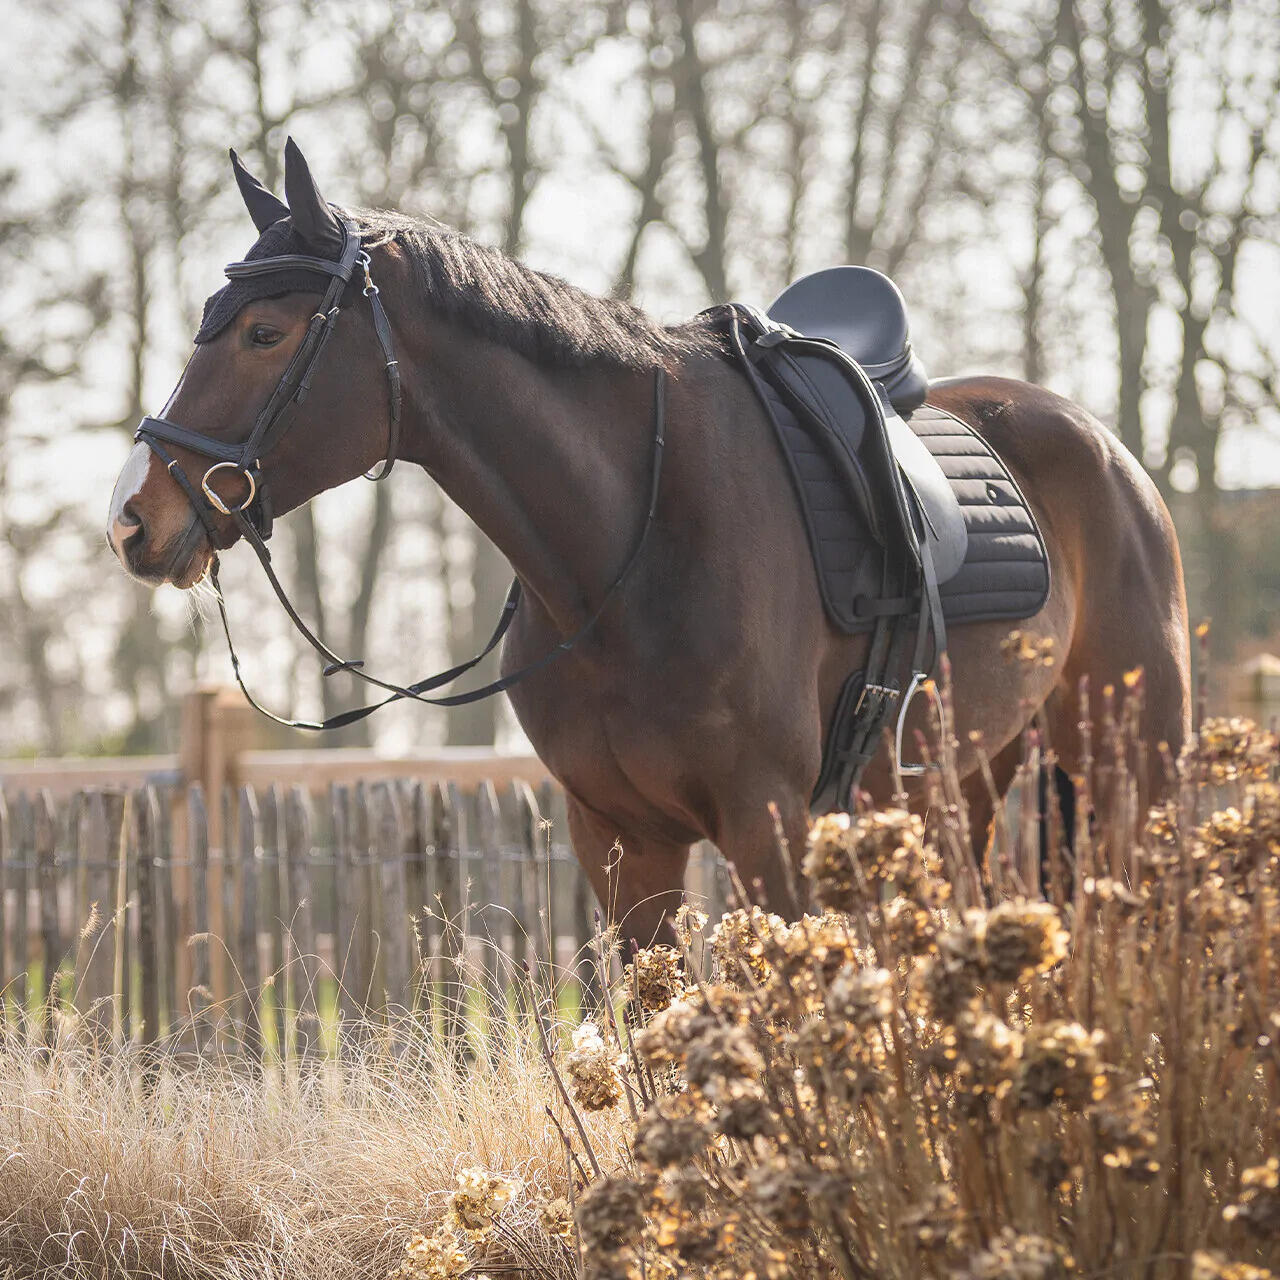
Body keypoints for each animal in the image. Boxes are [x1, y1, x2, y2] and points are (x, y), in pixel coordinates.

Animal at [107, 143, 1191, 947]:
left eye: (265, 332)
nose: (132, 517)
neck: (627, 551)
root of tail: (1106, 452)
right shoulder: (620, 841)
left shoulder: (767, 827)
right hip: (963, 780)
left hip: (1132, 770)